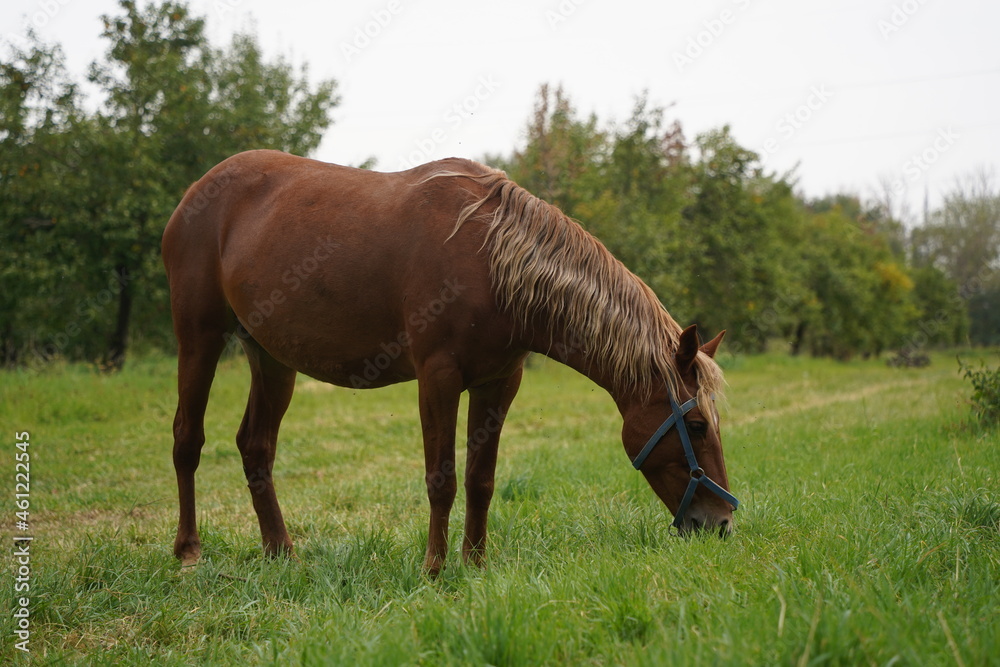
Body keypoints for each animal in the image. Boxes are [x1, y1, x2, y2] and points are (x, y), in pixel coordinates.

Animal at [164, 150, 740, 576]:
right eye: (695, 424)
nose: (721, 523)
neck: (491, 259)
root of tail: (195, 192)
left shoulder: (498, 383)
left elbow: (480, 480)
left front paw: (476, 565)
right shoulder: (437, 379)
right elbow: (441, 479)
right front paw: (435, 571)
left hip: (271, 358)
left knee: (255, 446)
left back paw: (280, 553)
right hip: (199, 338)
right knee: (187, 439)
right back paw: (189, 551)